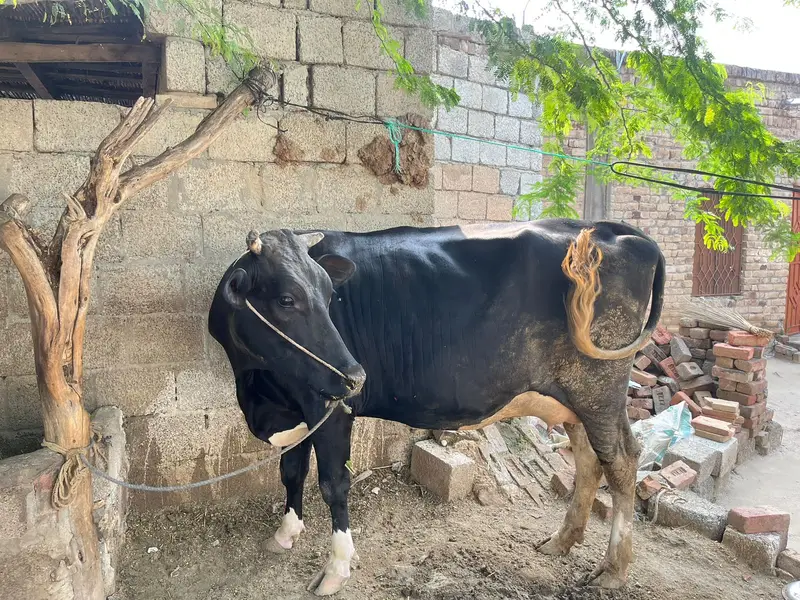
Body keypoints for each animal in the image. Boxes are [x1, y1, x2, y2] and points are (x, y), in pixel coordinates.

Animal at [208, 219, 665, 596]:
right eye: (286, 299)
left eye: (328, 292)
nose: (355, 376)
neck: (259, 387)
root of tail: (610, 229)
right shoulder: (296, 404)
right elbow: (291, 471)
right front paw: (286, 533)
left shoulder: (331, 405)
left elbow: (333, 484)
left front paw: (337, 569)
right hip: (574, 398)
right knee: (589, 460)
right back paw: (561, 541)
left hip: (598, 388)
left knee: (621, 461)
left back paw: (613, 570)